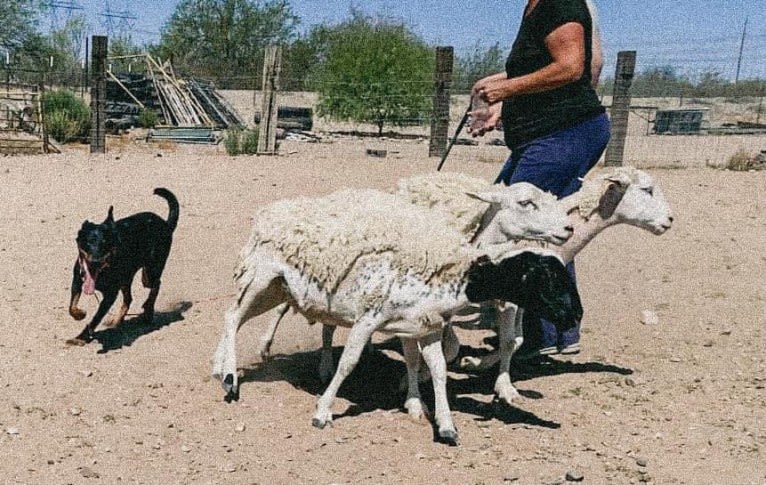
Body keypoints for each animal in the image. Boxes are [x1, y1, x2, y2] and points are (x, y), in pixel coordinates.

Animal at [68, 187, 182, 346]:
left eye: (105, 243)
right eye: (89, 242)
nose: (96, 261)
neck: (101, 274)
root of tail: (165, 224)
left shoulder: (110, 295)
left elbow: (96, 318)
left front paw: (81, 337)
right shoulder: (77, 281)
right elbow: (72, 306)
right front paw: (80, 314)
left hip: (149, 272)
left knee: (156, 284)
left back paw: (148, 310)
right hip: (126, 278)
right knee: (129, 299)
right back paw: (117, 320)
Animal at [210, 187, 584, 444]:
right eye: (543, 277)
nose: (576, 315)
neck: (449, 272)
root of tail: (272, 210)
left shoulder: (425, 326)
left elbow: (439, 369)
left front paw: (445, 425)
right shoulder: (369, 318)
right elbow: (349, 363)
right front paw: (322, 412)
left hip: (279, 288)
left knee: (238, 317)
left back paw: (222, 367)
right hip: (261, 279)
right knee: (232, 317)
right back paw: (229, 375)